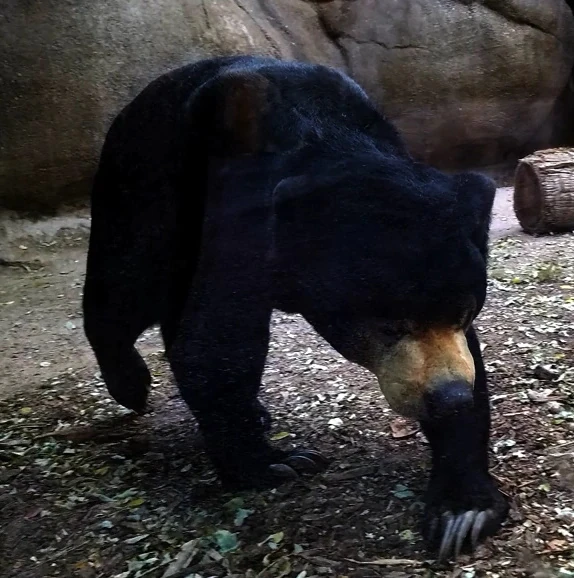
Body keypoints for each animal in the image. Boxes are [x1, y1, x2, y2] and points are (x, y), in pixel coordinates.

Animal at [83, 55, 509, 560]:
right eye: (389, 326)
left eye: (466, 314)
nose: (449, 396)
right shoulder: (245, 190)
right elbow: (218, 342)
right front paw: (275, 463)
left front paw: (462, 513)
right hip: (146, 177)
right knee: (129, 281)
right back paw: (130, 384)